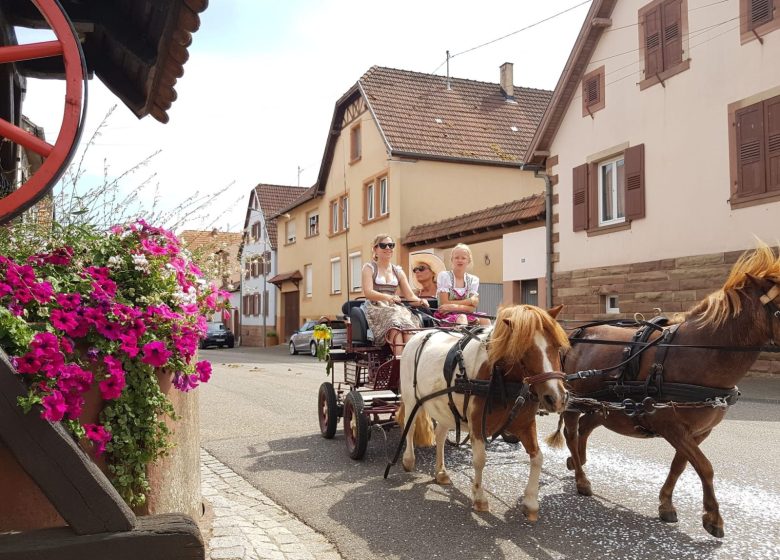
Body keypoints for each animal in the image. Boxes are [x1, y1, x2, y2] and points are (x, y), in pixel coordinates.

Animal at [400, 304, 568, 524]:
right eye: (523, 350)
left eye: (557, 346)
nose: (555, 398)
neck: (499, 379)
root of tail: (419, 335)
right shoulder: (477, 425)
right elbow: (480, 460)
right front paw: (479, 498)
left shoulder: (525, 424)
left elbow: (537, 457)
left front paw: (531, 502)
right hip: (412, 400)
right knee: (409, 429)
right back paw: (408, 460)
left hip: (445, 407)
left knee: (440, 436)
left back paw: (441, 472)